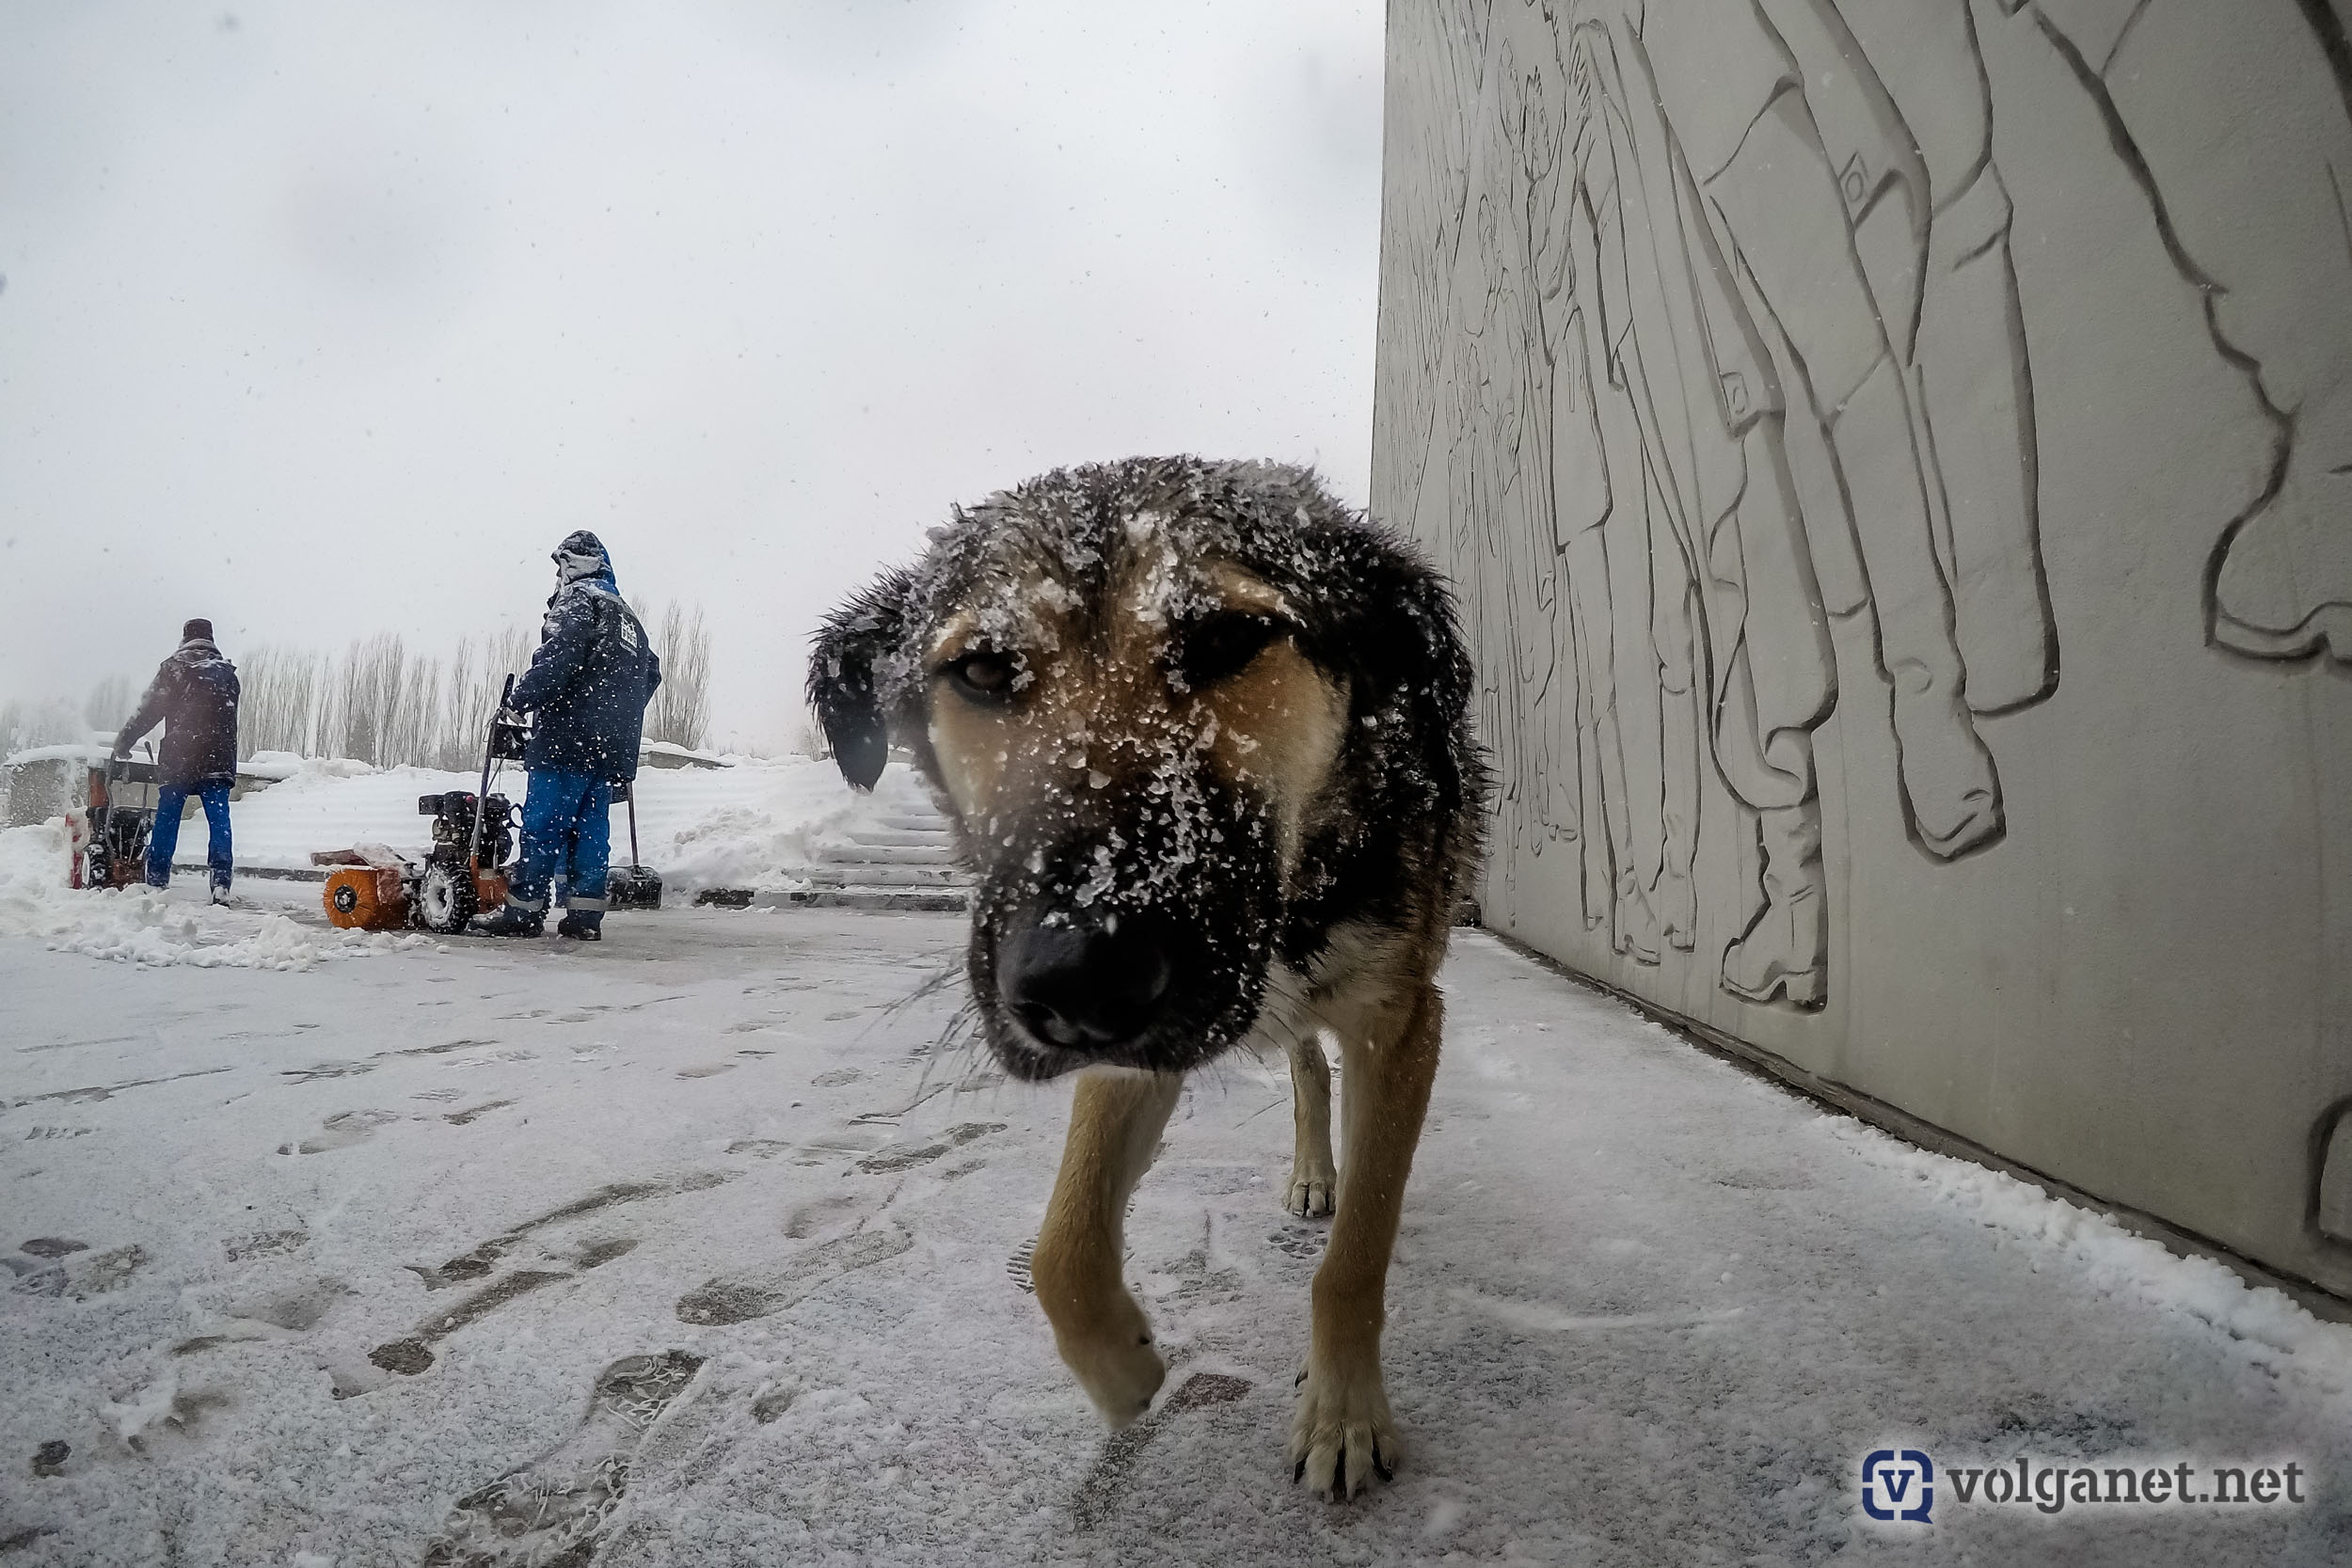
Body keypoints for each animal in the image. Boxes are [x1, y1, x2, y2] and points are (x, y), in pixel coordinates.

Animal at [809, 453, 1468, 1495]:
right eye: (983, 668)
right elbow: (1063, 1248)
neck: (1290, 896)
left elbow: (1355, 1258)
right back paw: (1312, 1168)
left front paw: (1345, 1414)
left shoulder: (1401, 1018)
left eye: (1230, 638)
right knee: (1303, 1070)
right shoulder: (1129, 1055)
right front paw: (1126, 1369)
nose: (1080, 973)